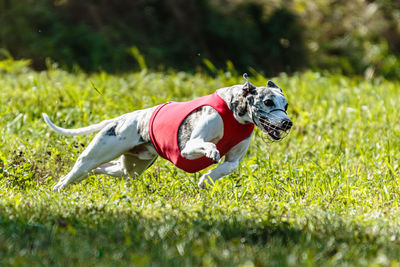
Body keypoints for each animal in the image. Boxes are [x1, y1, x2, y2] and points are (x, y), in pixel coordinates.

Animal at [43, 75, 292, 192]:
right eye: (268, 102)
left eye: (286, 105)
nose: (287, 123)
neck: (235, 113)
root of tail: (119, 119)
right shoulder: (188, 147)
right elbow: (206, 145)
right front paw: (211, 152)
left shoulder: (233, 159)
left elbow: (228, 166)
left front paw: (205, 180)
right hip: (99, 152)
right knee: (81, 167)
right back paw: (58, 188)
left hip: (131, 168)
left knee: (102, 169)